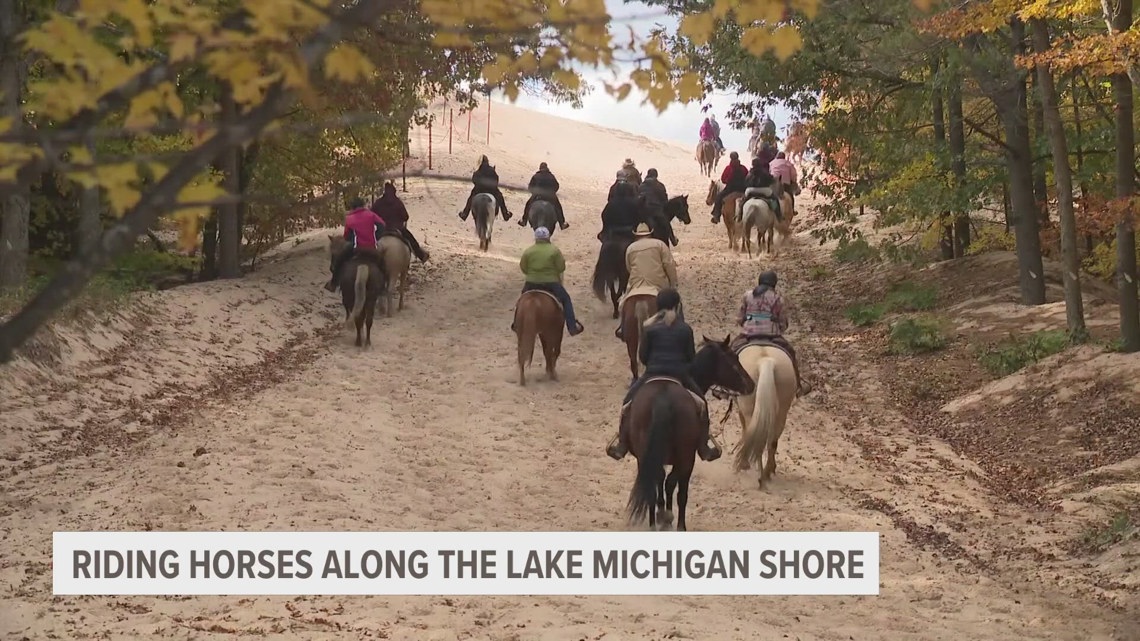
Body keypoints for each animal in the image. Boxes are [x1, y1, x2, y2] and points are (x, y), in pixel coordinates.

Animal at [624, 335, 756, 529]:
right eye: (734, 360)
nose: (751, 384)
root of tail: (663, 398)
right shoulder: (686, 459)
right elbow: (673, 486)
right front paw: (668, 517)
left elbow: (661, 482)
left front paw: (663, 515)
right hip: (686, 457)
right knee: (678, 491)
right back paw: (678, 525)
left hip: (645, 454)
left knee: (652, 483)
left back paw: (653, 523)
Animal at [734, 342, 798, 485]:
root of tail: (765, 361)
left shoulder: (741, 410)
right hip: (782, 413)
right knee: (772, 442)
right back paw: (768, 472)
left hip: (749, 411)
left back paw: (757, 474)